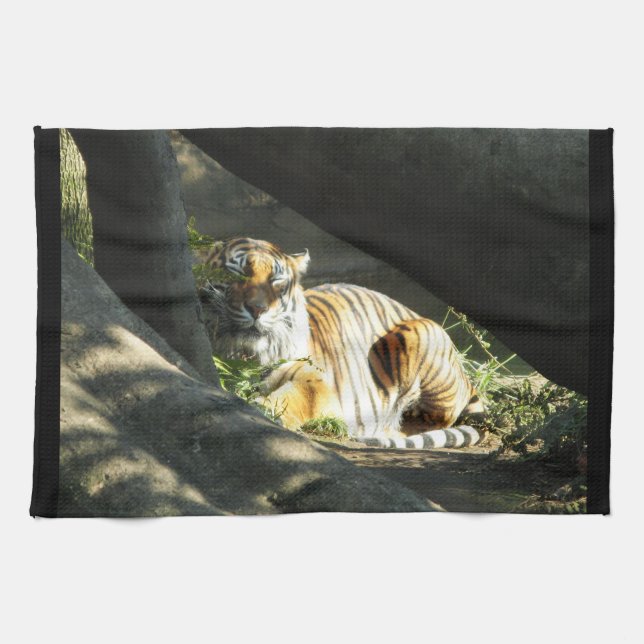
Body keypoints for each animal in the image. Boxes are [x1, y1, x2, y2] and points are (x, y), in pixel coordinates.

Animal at [199, 237, 484, 449]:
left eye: (276, 280)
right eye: (236, 273)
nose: (258, 309)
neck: (244, 354)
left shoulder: (314, 379)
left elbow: (292, 397)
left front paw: (263, 408)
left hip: (419, 334)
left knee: (431, 420)